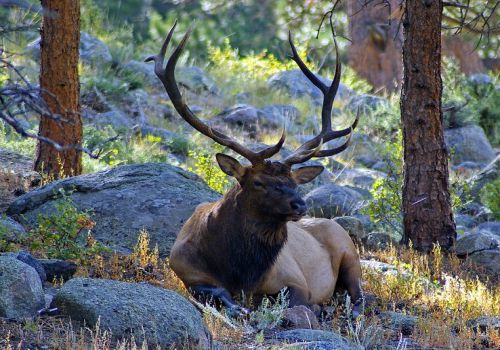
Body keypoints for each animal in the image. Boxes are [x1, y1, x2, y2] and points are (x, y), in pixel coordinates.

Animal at [146, 22, 362, 318]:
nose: (300, 205)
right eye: (258, 182)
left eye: (295, 183)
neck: (240, 273)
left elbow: (293, 301)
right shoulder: (186, 271)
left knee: (360, 294)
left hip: (350, 253)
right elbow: (217, 292)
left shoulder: (295, 279)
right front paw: (238, 308)